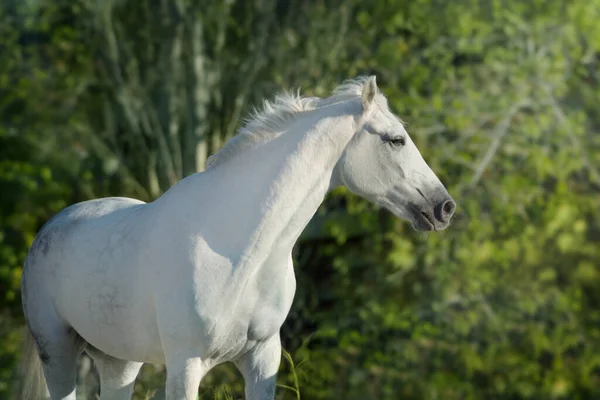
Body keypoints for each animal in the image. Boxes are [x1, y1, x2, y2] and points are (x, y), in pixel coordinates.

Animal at [21, 76, 458, 398]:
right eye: (396, 139)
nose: (444, 208)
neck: (238, 250)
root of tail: (51, 227)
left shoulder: (263, 358)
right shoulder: (185, 366)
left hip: (119, 363)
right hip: (58, 354)